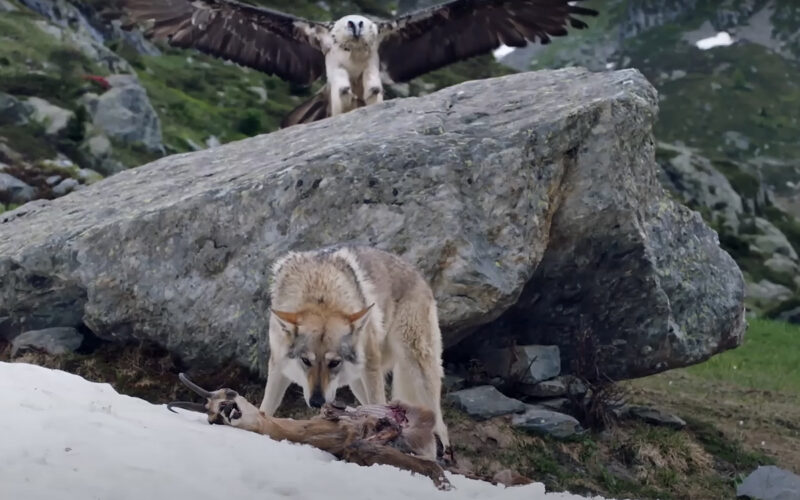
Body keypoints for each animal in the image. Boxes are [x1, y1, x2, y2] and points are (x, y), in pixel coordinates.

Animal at [259, 245, 449, 457]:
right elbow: (266, 407)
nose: (317, 402)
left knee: (440, 427)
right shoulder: (277, 364)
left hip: (415, 367)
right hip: (357, 383)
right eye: (306, 361)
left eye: (334, 363)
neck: (320, 293)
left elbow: (379, 403)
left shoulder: (371, 365)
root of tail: (417, 273)